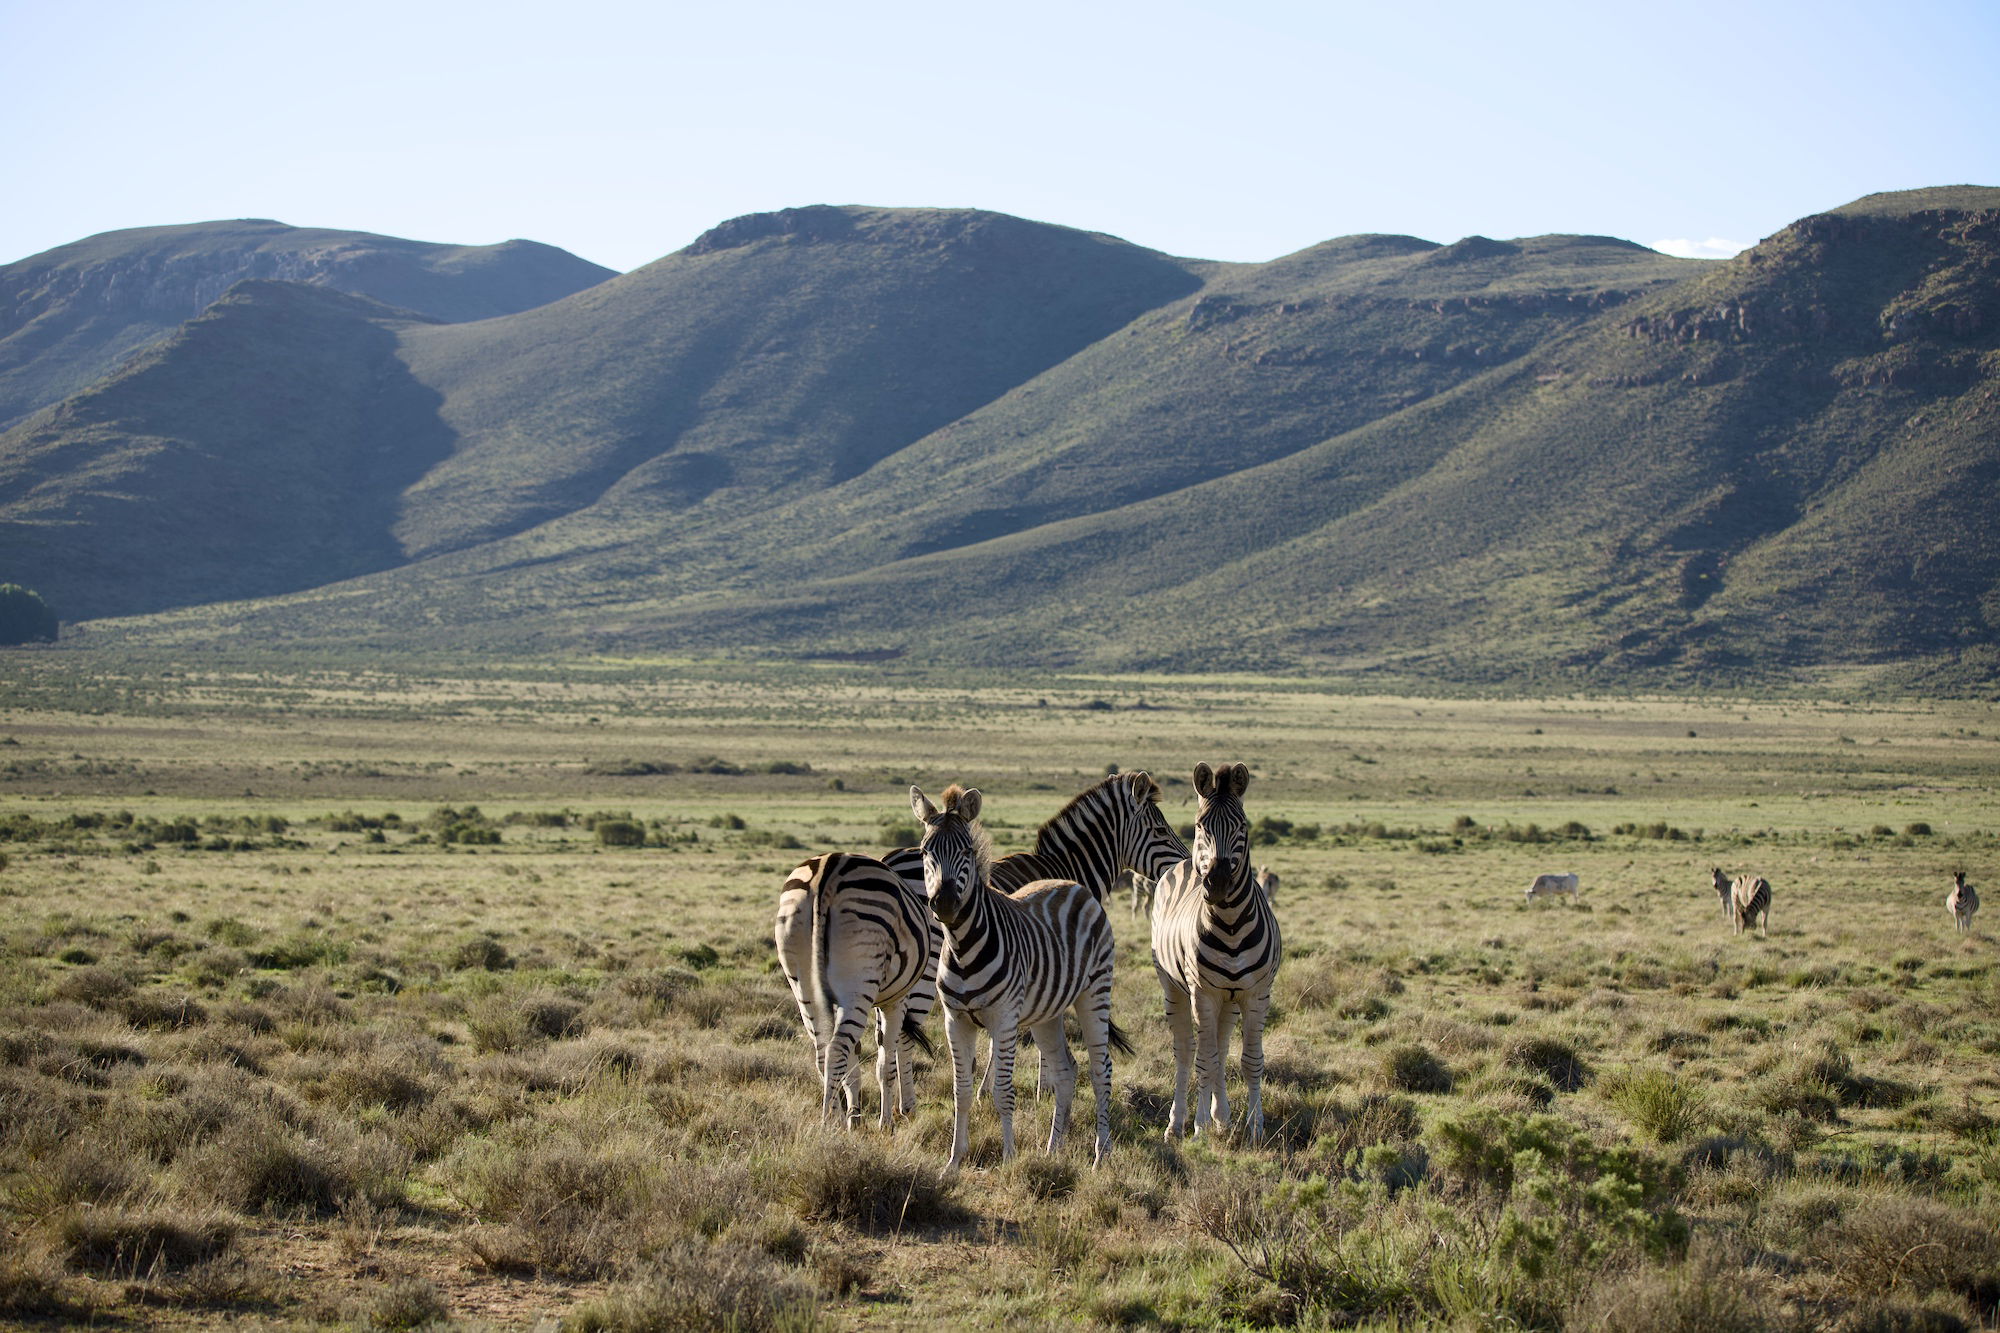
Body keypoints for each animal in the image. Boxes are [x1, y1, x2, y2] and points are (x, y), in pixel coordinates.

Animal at [774, 847, 936, 1127]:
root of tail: (827, 872)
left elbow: (858, 1061)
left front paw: (855, 1116)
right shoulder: (896, 1000)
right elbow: (887, 1062)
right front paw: (886, 1123)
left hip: (802, 981)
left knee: (823, 1052)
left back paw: (836, 1119)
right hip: (858, 983)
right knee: (837, 1049)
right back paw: (827, 1124)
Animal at [912, 783, 1129, 1169]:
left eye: (967, 850)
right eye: (925, 851)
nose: (946, 903)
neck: (963, 947)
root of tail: (1072, 884)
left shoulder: (1004, 1019)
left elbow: (1002, 1091)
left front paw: (1009, 1158)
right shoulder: (956, 1019)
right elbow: (961, 1091)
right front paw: (954, 1162)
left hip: (1095, 991)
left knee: (1101, 1069)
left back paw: (1101, 1154)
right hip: (1047, 1013)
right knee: (1066, 1070)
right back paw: (1053, 1147)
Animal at [1151, 761, 1283, 1144]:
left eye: (1242, 826)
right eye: (1200, 826)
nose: (1218, 883)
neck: (1231, 924)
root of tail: (1181, 862)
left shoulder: (1256, 994)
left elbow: (1249, 1060)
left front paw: (1254, 1128)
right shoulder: (1203, 994)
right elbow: (1204, 1061)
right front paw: (1199, 1128)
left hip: (1230, 999)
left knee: (1222, 1049)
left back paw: (1222, 1117)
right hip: (1174, 988)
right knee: (1185, 1052)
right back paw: (1176, 1124)